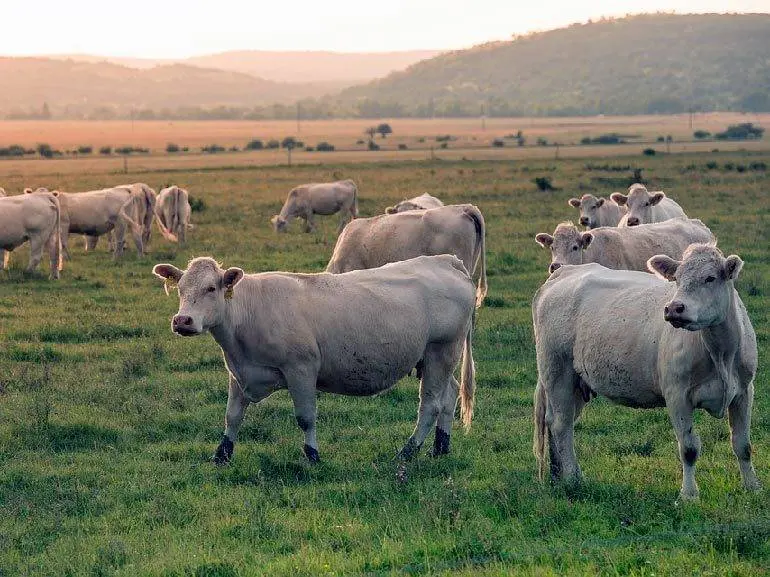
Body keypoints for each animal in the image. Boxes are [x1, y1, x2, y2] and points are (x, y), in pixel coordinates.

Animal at [152, 254, 476, 465]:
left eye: (211, 288)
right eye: (180, 289)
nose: (182, 321)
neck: (249, 311)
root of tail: (446, 261)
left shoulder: (301, 370)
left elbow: (305, 418)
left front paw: (312, 455)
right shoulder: (239, 372)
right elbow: (232, 416)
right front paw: (222, 453)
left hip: (440, 352)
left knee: (430, 405)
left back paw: (407, 452)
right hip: (435, 360)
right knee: (449, 397)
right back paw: (440, 447)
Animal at [532, 244, 760, 500]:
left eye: (710, 278)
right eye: (677, 279)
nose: (674, 308)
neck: (721, 353)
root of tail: (564, 272)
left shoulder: (744, 392)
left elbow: (743, 445)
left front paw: (752, 486)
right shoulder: (677, 395)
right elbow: (689, 448)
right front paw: (689, 495)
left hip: (577, 384)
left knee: (557, 421)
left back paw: (557, 476)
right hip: (557, 371)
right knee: (561, 424)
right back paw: (572, 478)